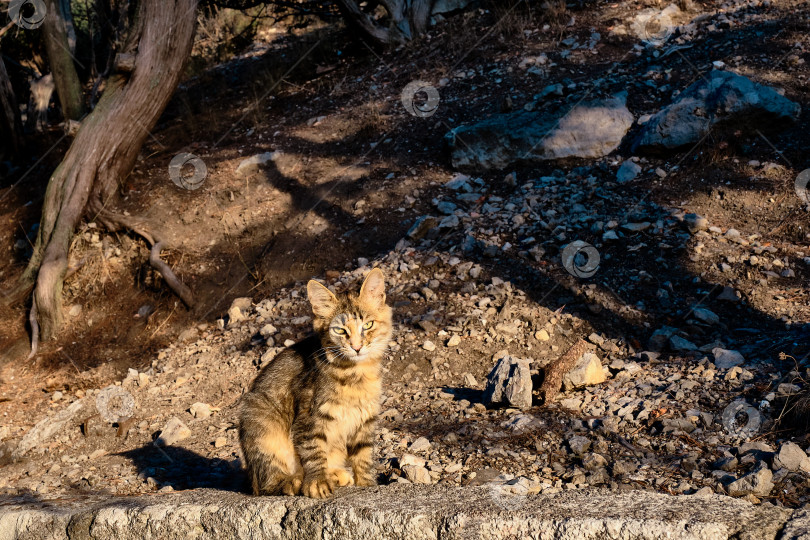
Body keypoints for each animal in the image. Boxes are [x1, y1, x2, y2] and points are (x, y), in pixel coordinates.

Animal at [237, 266, 392, 498]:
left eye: (368, 325)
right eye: (340, 330)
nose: (356, 347)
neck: (356, 375)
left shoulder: (365, 418)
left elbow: (363, 458)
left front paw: (367, 485)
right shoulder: (309, 416)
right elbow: (314, 451)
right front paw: (317, 482)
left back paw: (336, 475)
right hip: (261, 421)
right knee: (266, 483)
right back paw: (293, 482)